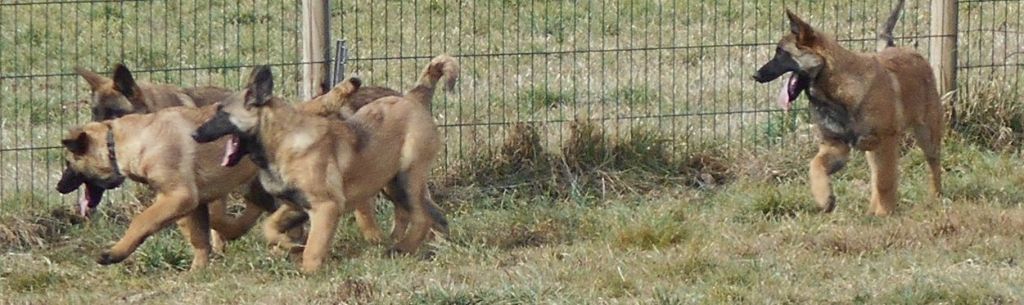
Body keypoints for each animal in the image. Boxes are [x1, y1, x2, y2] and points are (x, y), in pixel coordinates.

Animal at [195, 68, 444, 272]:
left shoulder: (326, 206)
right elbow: (270, 226)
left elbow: (314, 246)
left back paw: (402, 248)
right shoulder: (296, 205)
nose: (194, 134)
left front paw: (308, 272)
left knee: (421, 217)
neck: (282, 142)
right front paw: (288, 246)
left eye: (221, 113)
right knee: (428, 213)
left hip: (406, 178)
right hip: (392, 183)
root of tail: (412, 98)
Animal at [749, 0, 937, 216]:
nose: (755, 75)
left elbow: (885, 182)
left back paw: (935, 197)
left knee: (932, 166)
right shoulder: (836, 146)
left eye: (781, 53)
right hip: (873, 150)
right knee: (875, 175)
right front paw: (824, 198)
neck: (836, 93)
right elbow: (815, 165)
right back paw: (872, 209)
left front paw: (885, 213)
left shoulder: (887, 141)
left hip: (927, 135)